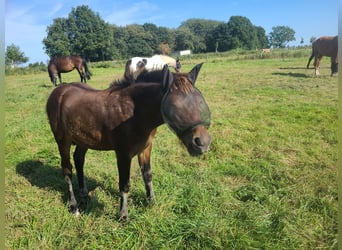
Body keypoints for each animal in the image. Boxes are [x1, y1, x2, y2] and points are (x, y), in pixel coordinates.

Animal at [45, 63, 211, 221]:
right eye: (174, 106)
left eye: (200, 102)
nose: (202, 142)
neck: (135, 112)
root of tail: (58, 92)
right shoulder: (123, 154)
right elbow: (124, 184)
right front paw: (123, 215)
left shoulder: (145, 148)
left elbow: (147, 175)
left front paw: (151, 202)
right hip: (63, 141)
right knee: (67, 169)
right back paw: (74, 207)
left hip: (83, 140)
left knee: (79, 160)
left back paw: (84, 194)